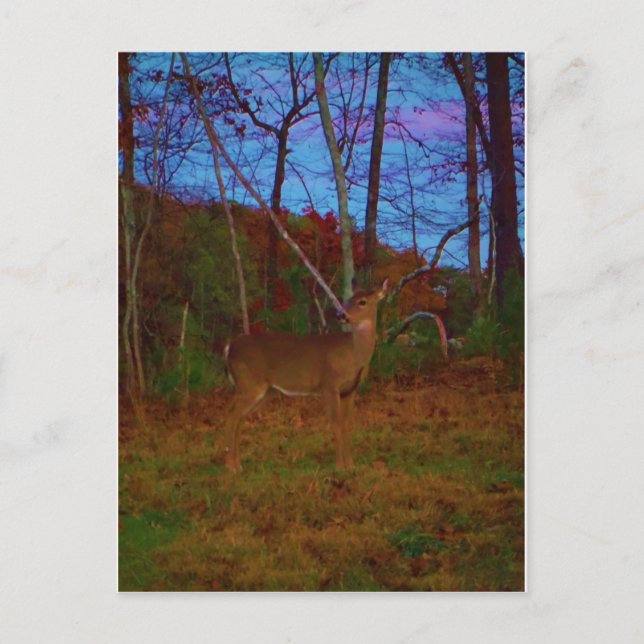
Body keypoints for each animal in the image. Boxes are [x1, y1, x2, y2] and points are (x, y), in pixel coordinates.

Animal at [222, 278, 389, 472]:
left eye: (362, 301)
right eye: (347, 300)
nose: (341, 314)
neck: (353, 354)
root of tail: (229, 347)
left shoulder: (350, 390)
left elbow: (347, 424)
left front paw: (351, 465)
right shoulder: (329, 385)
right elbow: (336, 423)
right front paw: (340, 466)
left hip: (263, 390)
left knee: (239, 417)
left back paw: (238, 464)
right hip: (249, 383)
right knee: (231, 415)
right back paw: (231, 467)